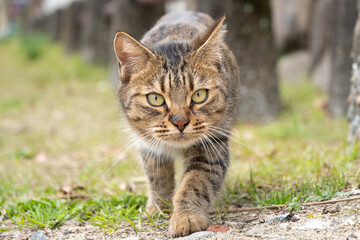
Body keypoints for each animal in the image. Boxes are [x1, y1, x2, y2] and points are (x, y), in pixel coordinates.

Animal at [114, 10, 240, 236]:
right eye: (155, 99)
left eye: (199, 95)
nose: (181, 122)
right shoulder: (149, 146)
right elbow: (157, 178)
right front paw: (159, 207)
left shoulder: (212, 146)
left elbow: (195, 182)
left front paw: (185, 216)